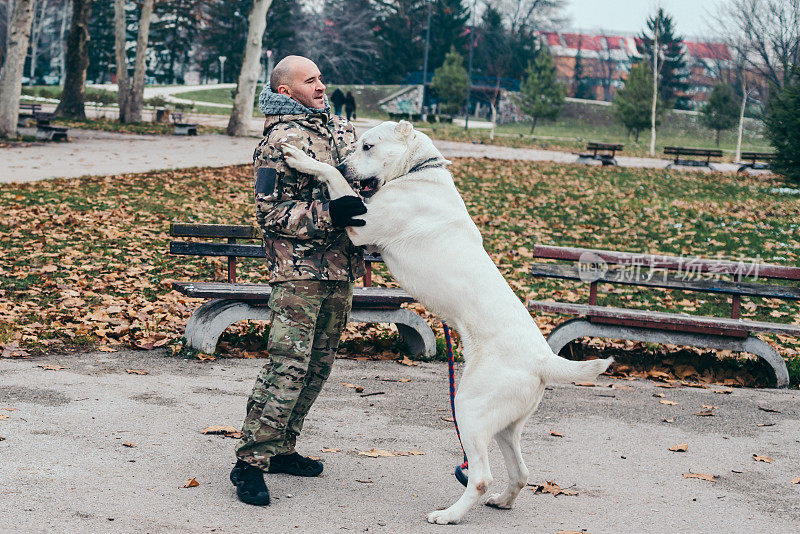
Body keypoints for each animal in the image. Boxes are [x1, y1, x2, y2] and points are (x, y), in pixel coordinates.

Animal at [282, 122, 612, 528]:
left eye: (368, 146)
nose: (346, 163)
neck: (418, 171)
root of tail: (543, 361)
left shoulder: (362, 223)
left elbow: (332, 181)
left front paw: (303, 159)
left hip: (468, 409)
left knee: (481, 477)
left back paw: (449, 515)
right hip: (505, 425)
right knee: (520, 473)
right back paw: (502, 502)